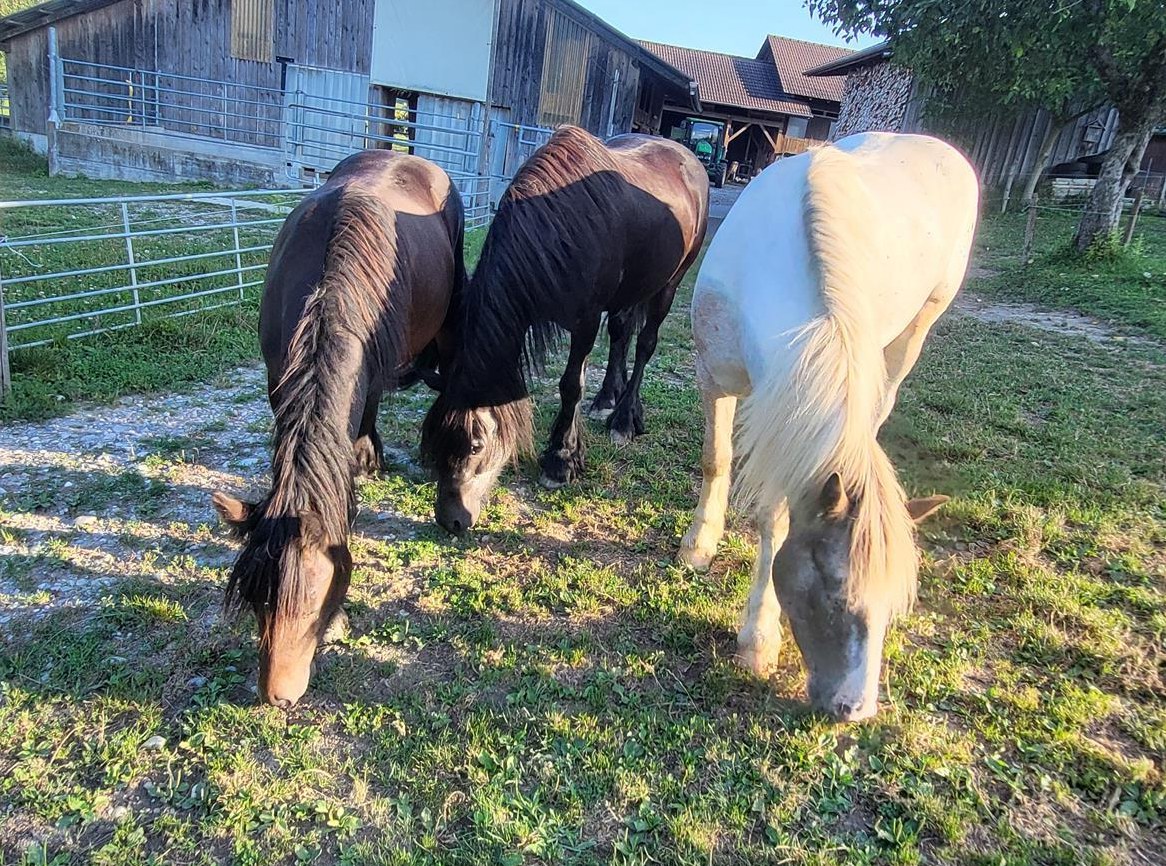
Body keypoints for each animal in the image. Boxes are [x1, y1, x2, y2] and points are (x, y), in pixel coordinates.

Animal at [420, 125, 708, 534]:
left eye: (475, 445)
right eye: (433, 437)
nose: (451, 520)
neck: (561, 229)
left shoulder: (584, 323)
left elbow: (571, 385)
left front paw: (560, 459)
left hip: (668, 286)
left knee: (645, 345)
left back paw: (625, 418)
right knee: (621, 333)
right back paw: (608, 399)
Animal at [678, 132, 979, 722]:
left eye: (893, 607)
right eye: (838, 594)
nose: (855, 710)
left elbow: (774, 516)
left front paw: (757, 637)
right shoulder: (714, 378)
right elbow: (717, 462)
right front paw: (699, 548)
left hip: (916, 327)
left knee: (881, 401)